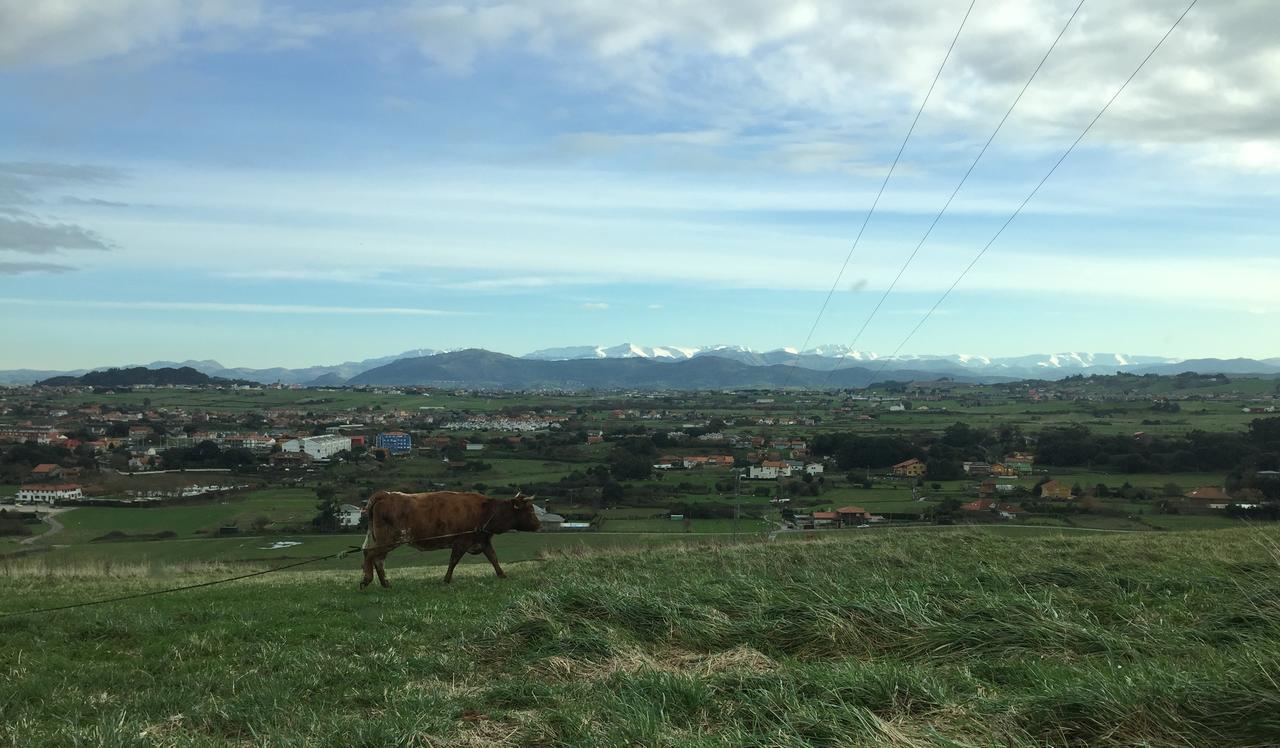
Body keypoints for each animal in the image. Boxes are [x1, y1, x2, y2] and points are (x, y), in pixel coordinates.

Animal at [360, 491, 540, 589]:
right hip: (389, 539)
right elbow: (453, 561)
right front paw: (446, 579)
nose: (539, 525)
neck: (486, 511)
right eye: (530, 510)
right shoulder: (461, 542)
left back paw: (385, 583)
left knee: (378, 560)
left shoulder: (483, 541)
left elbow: (493, 558)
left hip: (385, 540)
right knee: (370, 554)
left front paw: (502, 575)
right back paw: (366, 580)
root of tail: (385, 495)